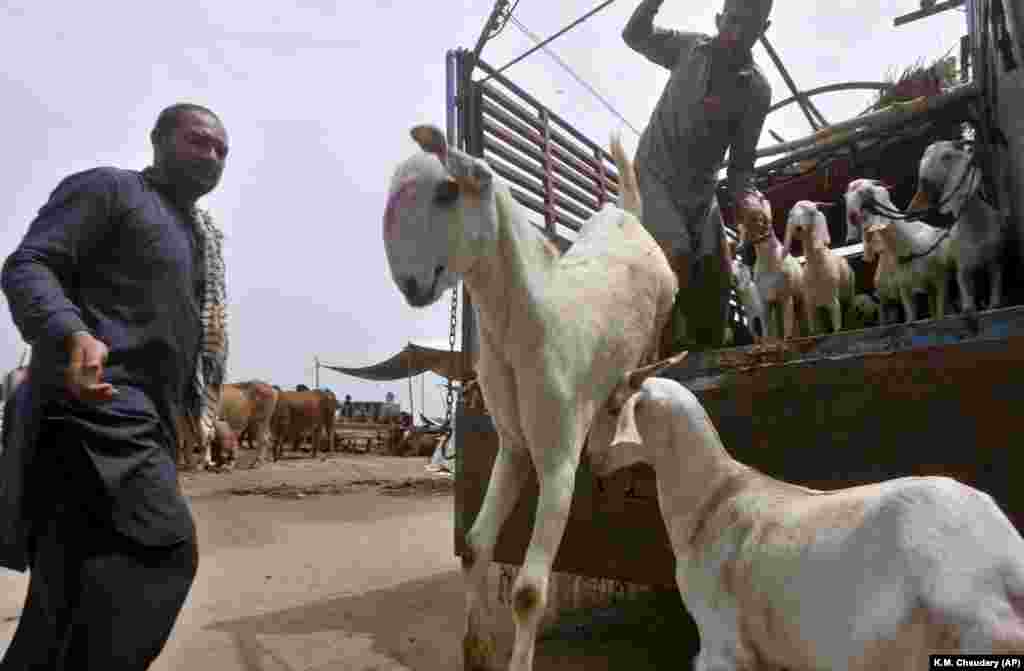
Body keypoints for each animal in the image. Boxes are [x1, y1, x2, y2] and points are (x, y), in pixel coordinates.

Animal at [380, 124, 675, 671]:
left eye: (448, 190)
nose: (411, 284)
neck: (530, 323)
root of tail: (627, 211)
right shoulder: (514, 446)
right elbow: (475, 546)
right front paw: (475, 649)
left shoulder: (559, 457)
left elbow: (528, 592)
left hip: (665, 303)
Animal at [782, 199, 856, 336]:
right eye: (791, 214)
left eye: (811, 212)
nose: (797, 228)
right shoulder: (810, 304)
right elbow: (815, 331)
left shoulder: (832, 300)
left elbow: (837, 327)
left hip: (849, 293)